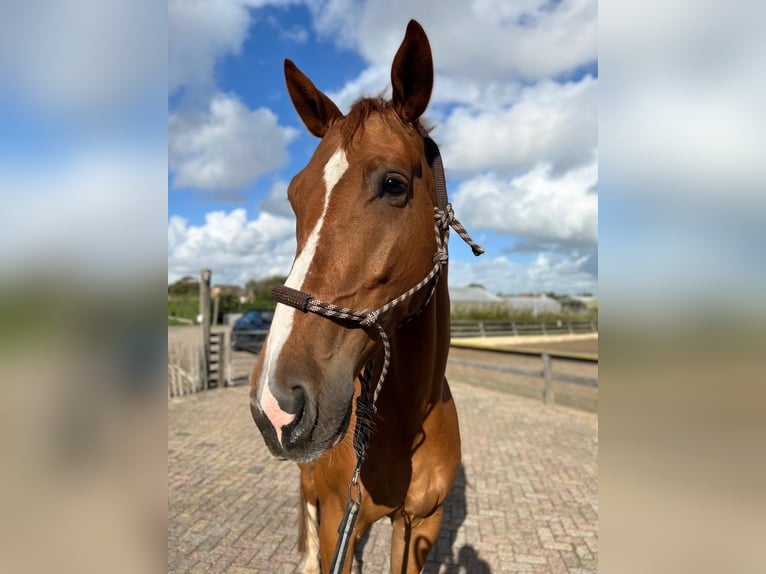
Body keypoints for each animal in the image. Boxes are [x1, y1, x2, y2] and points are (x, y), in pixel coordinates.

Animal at [249, 20, 484, 572]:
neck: (408, 416)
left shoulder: (421, 524)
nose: (277, 401)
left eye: (393, 184)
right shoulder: (340, 518)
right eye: (294, 196)